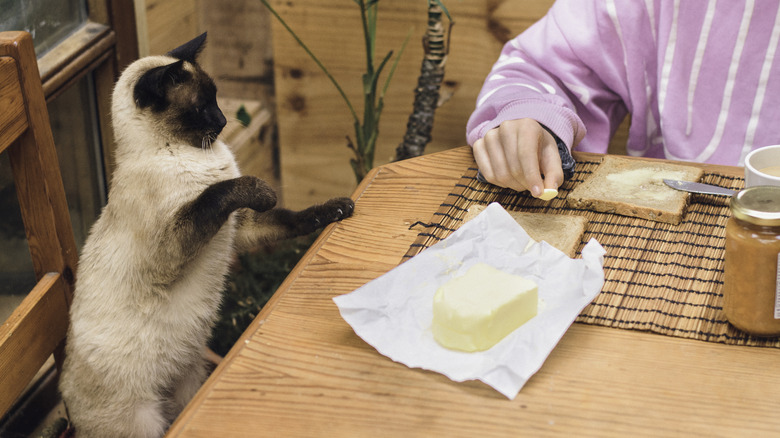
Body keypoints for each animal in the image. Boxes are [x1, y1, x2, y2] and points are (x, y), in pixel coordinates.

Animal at [61, 34, 354, 438]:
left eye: (216, 99)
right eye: (202, 108)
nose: (224, 121)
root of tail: (66, 405)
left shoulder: (239, 227)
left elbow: (292, 217)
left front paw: (338, 209)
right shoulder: (176, 244)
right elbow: (219, 193)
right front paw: (262, 189)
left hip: (188, 382)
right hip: (142, 422)